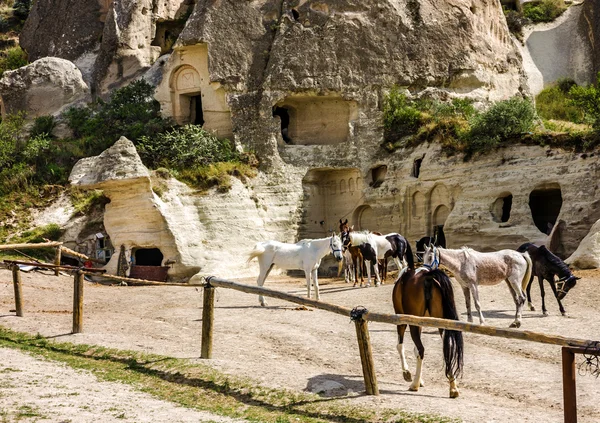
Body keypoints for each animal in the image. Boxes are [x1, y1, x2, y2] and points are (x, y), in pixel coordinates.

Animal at [394, 270, 464, 400]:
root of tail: (428, 276)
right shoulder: (420, 324)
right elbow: (414, 350)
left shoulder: (401, 320)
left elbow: (400, 346)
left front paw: (407, 372)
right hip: (442, 324)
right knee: (447, 349)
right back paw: (453, 388)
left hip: (413, 323)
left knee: (421, 349)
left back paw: (414, 384)